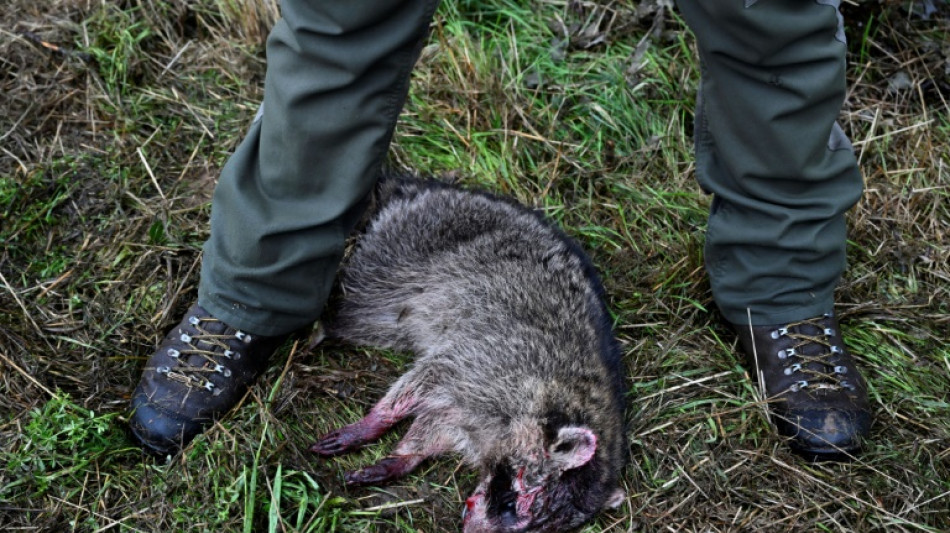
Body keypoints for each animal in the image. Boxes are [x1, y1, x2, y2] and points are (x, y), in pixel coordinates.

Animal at [308, 177, 628, 528]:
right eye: (511, 504)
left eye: (538, 529)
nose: (467, 528)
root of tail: (420, 190)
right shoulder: (487, 361)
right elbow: (424, 379)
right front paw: (378, 419)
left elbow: (434, 427)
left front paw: (404, 456)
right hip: (404, 250)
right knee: (354, 310)